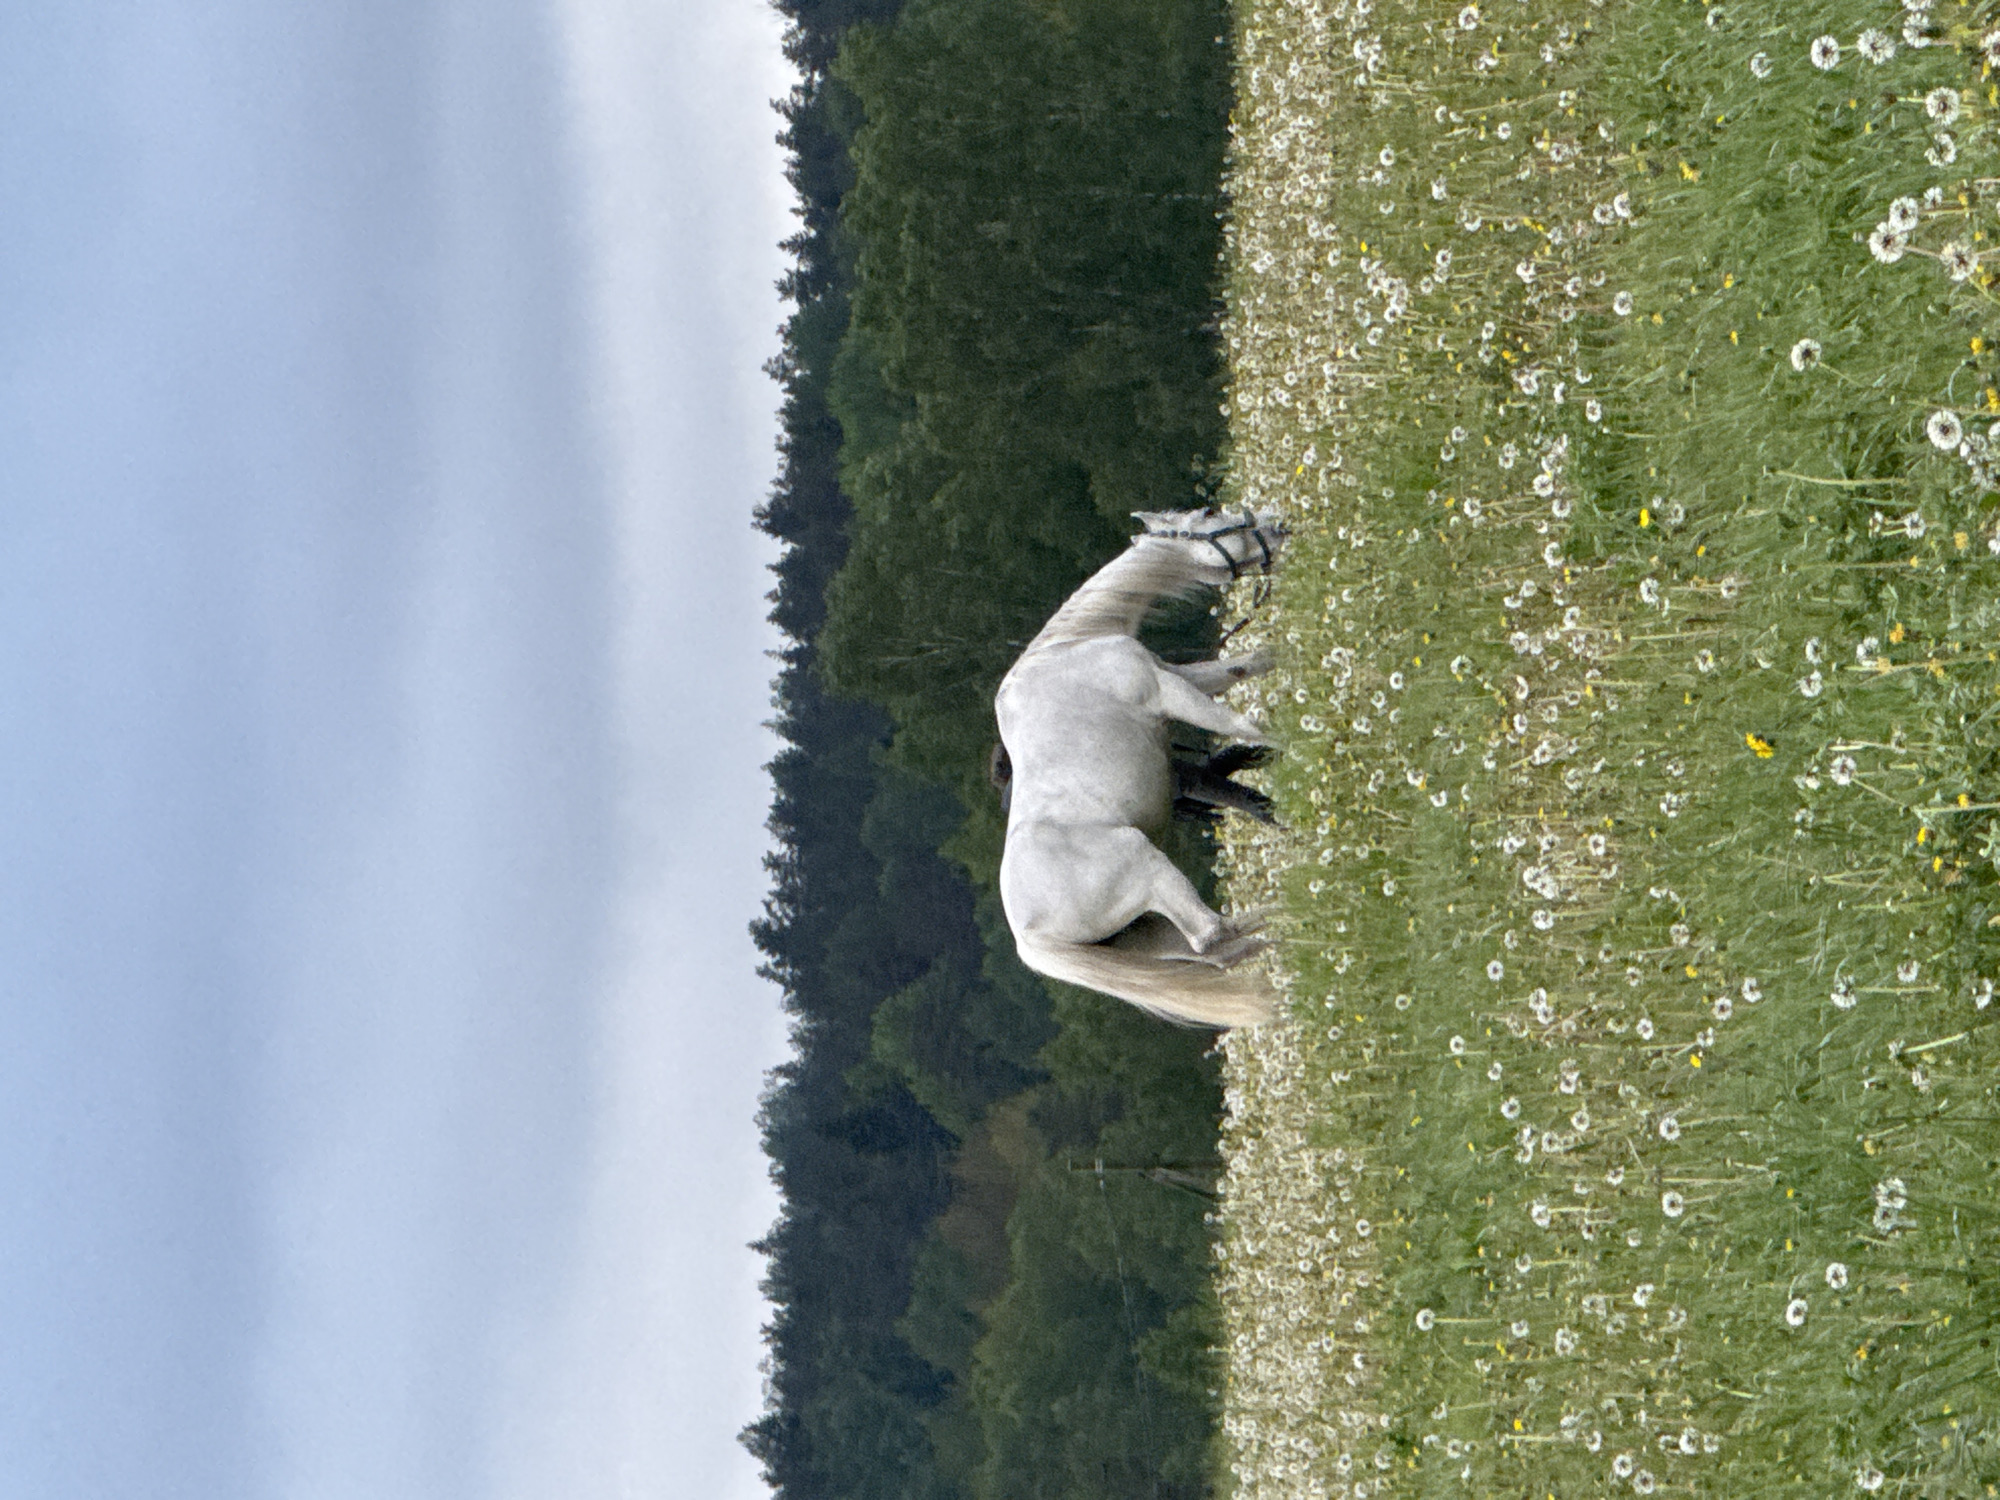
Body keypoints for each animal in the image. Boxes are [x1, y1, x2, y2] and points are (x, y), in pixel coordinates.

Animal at [994, 507, 1285, 1028]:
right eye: (1211, 516)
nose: (1277, 526)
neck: (1074, 646)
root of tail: (1032, 938)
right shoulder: (1170, 690)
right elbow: (1241, 723)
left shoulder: (1185, 676)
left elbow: (1250, 664)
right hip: (1151, 873)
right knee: (1212, 935)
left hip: (1144, 935)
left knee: (1219, 950)